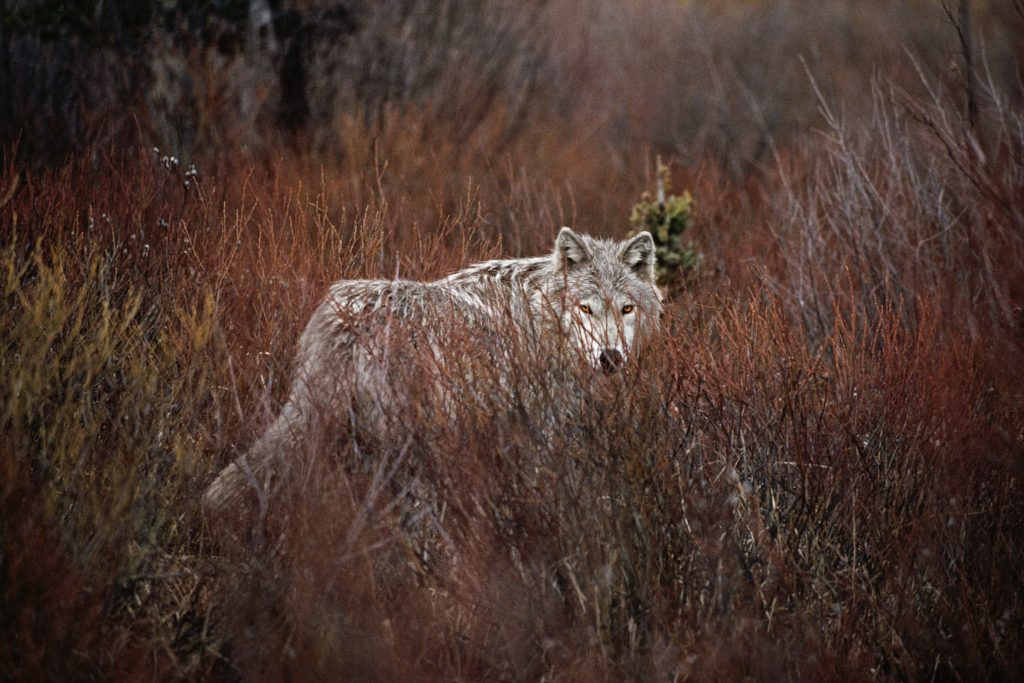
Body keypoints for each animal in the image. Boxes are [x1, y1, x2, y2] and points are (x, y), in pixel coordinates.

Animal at [204, 227, 663, 525]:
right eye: (586, 308)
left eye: (626, 309)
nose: (610, 358)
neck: (539, 316)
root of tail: (344, 324)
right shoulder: (537, 431)